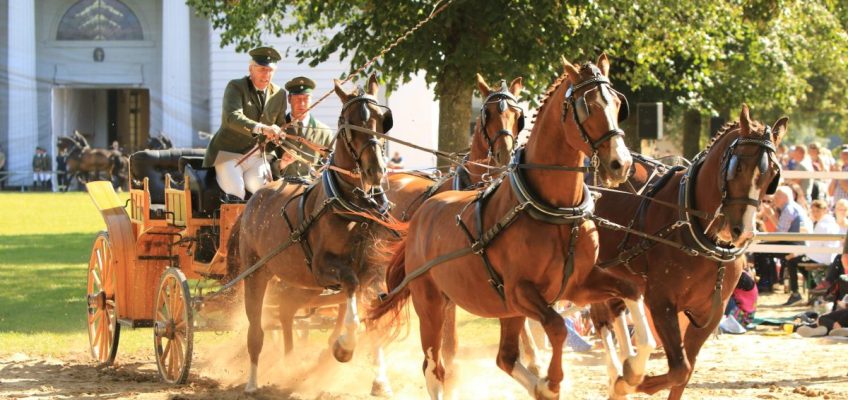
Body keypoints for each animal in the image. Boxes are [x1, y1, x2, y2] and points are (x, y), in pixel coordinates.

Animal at [230, 73, 392, 392]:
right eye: (350, 122)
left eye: (382, 119)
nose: (375, 171)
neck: (353, 205)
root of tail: (256, 196)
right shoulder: (324, 268)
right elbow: (351, 288)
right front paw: (343, 346)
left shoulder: (374, 270)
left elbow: (374, 315)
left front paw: (380, 379)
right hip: (255, 273)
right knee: (256, 330)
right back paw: (252, 381)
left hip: (297, 282)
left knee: (285, 312)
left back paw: (290, 362)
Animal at [372, 54, 644, 400]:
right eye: (587, 106)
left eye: (618, 104)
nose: (621, 164)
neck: (557, 212)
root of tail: (422, 213)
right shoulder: (520, 291)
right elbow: (557, 327)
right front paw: (552, 381)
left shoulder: (578, 284)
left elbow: (630, 292)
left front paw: (632, 370)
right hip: (432, 303)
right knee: (435, 368)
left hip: (502, 310)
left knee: (505, 357)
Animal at [588, 104, 780, 398]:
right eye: (738, 167)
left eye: (772, 176)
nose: (743, 231)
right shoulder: (661, 302)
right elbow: (679, 368)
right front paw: (631, 380)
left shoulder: (708, 315)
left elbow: (684, 373)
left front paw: (629, 375)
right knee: (601, 319)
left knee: (611, 311)